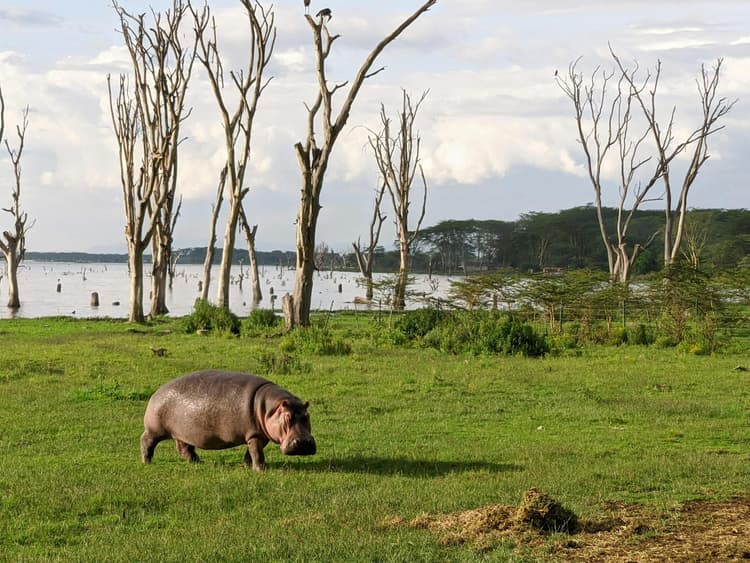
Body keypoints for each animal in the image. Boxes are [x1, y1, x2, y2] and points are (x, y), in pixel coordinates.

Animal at [141, 370, 318, 472]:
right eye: (287, 417)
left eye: (307, 416)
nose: (303, 443)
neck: (271, 408)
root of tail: (156, 393)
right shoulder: (254, 434)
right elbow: (257, 453)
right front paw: (261, 470)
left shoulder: (259, 435)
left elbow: (252, 452)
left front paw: (247, 465)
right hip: (154, 430)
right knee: (146, 442)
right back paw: (146, 462)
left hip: (182, 433)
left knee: (184, 448)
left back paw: (197, 462)